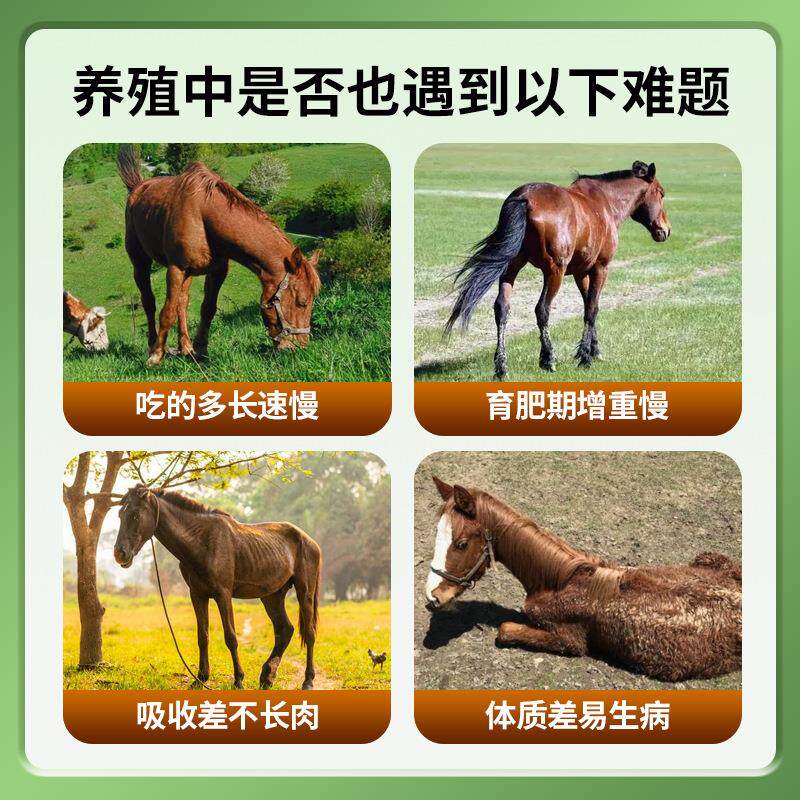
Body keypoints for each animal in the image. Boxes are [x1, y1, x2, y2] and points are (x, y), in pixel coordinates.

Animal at [113, 485, 322, 690]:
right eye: (120, 514)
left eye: (135, 515)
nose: (119, 554)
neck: (201, 541)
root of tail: (310, 541)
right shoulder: (197, 595)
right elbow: (202, 636)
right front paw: (200, 679)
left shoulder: (223, 594)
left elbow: (231, 637)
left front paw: (238, 680)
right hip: (272, 596)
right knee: (284, 629)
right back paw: (267, 677)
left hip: (305, 591)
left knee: (309, 633)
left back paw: (307, 681)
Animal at [116, 146, 321, 366]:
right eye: (302, 302)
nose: (298, 347)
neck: (203, 214)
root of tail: (138, 187)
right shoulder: (175, 269)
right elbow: (167, 312)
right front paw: (156, 355)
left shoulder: (217, 271)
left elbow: (207, 308)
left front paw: (201, 350)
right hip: (141, 262)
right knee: (149, 302)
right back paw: (153, 345)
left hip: (188, 274)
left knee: (182, 302)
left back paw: (185, 346)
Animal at [444, 160, 671, 377]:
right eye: (661, 193)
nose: (666, 230)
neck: (605, 203)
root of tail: (525, 199)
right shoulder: (600, 269)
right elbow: (592, 309)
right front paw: (585, 357)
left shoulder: (581, 272)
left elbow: (588, 306)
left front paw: (593, 350)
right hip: (555, 272)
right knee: (542, 310)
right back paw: (548, 358)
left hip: (510, 268)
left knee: (502, 309)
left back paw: (501, 366)